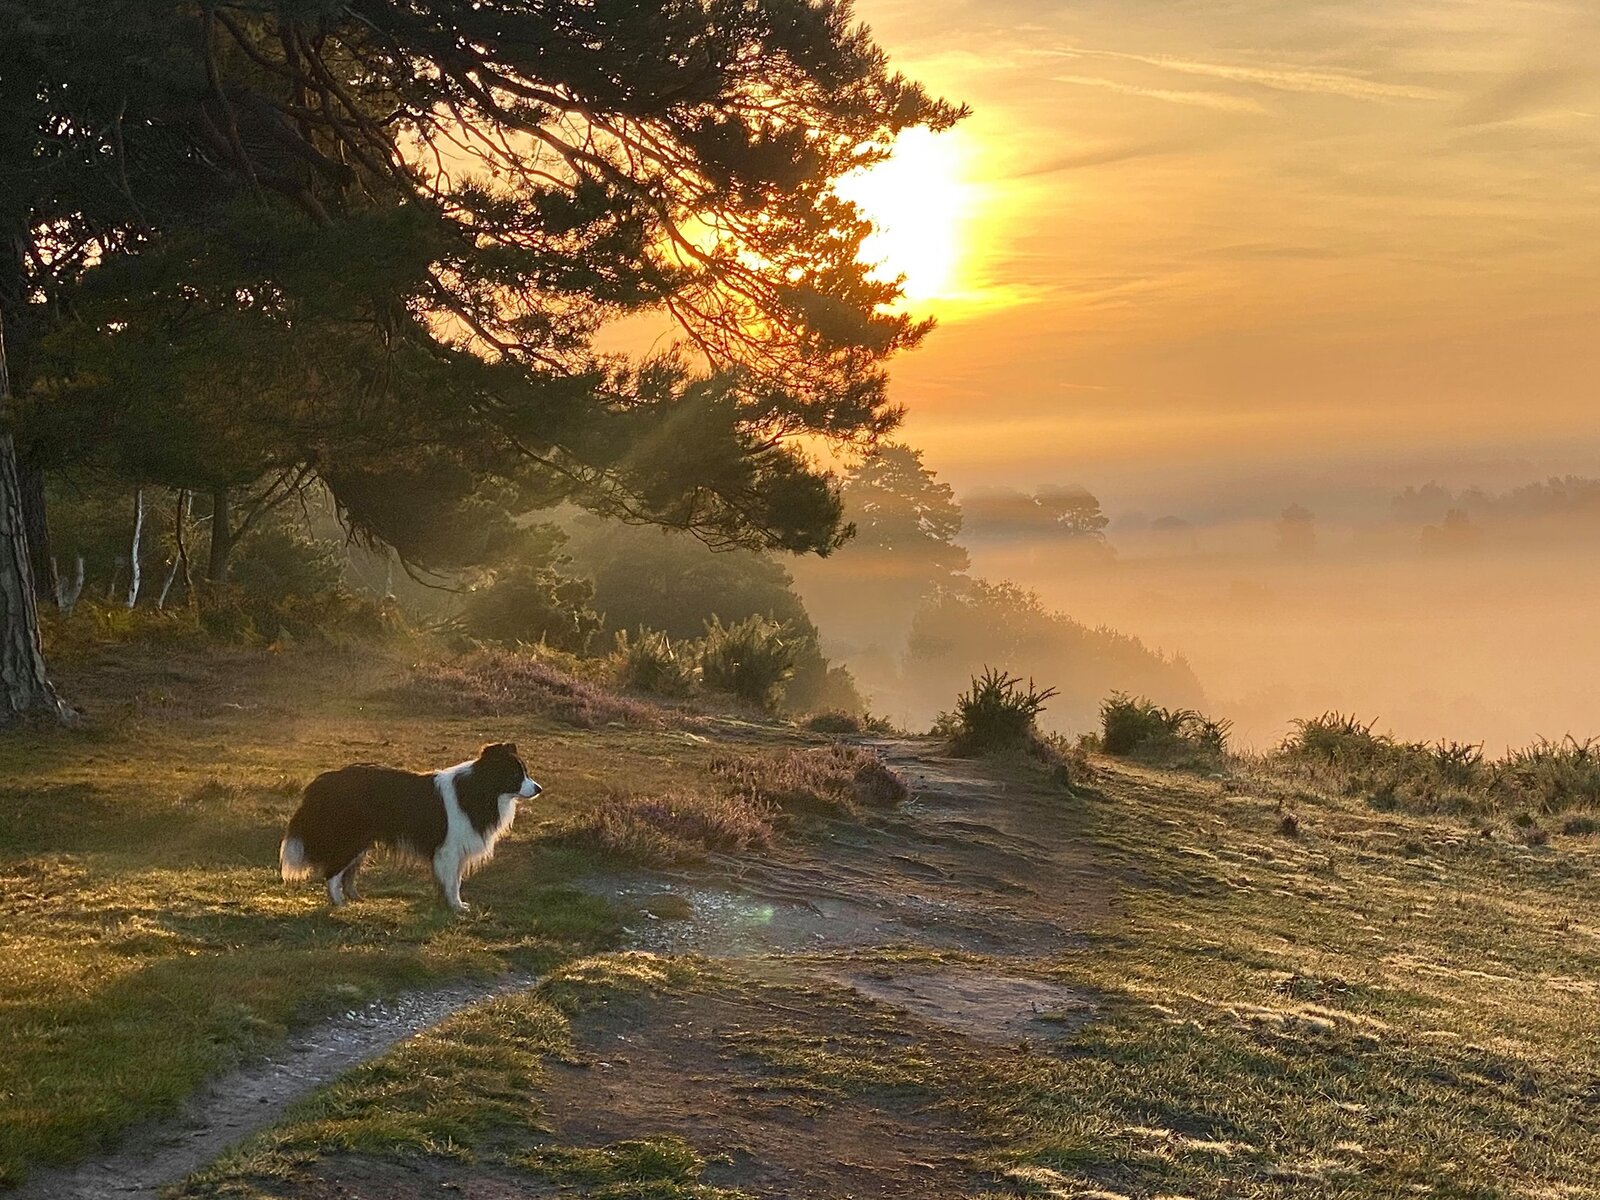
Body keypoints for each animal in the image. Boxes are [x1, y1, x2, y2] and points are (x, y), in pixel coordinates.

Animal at [281, 742, 544, 908]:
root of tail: (326, 781)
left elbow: (453, 880)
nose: (539, 789)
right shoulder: (448, 849)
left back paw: (354, 898)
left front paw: (451, 904)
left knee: (347, 872)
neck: (481, 788)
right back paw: (337, 902)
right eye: (516, 775)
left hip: (361, 841)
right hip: (350, 838)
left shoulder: (456, 850)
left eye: (526, 772)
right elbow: (452, 882)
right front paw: (456, 908)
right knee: (333, 871)